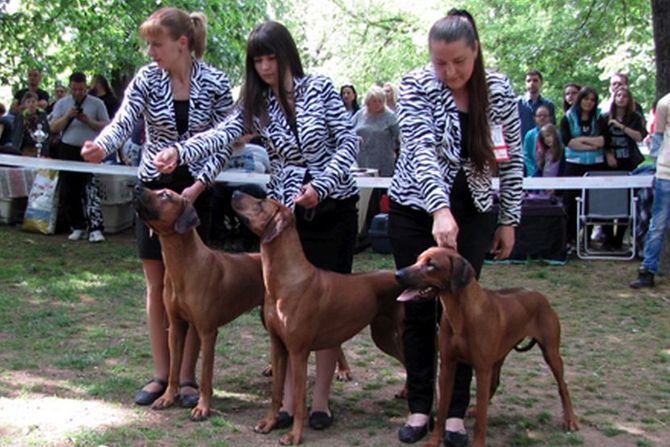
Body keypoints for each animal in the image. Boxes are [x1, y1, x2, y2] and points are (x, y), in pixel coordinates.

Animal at [232, 191, 404, 446]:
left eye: (261, 203)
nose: (234, 192)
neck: (286, 281)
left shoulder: (298, 352)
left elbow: (299, 399)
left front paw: (294, 435)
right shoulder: (278, 346)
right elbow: (276, 392)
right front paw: (270, 422)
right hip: (383, 335)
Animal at [396, 247, 580, 447]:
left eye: (431, 264)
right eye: (417, 259)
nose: (398, 274)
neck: (460, 314)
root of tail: (540, 295)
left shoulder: (482, 368)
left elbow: (482, 417)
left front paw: (477, 442)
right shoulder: (447, 365)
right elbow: (443, 407)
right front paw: (434, 440)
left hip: (551, 353)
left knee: (563, 386)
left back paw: (570, 420)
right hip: (499, 355)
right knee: (495, 383)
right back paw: (475, 409)